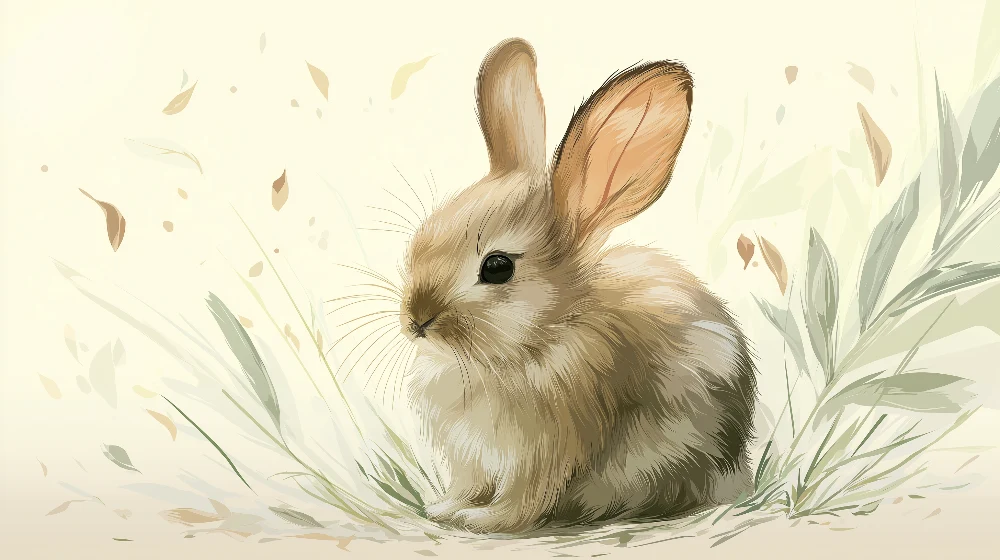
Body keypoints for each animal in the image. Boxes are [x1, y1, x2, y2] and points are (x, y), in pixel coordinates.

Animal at [398, 37, 758, 535]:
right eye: (420, 236)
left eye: (496, 267)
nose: (417, 319)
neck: (542, 335)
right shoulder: (472, 461)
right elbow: (466, 487)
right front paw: (444, 509)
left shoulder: (548, 450)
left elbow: (522, 502)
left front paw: (482, 520)